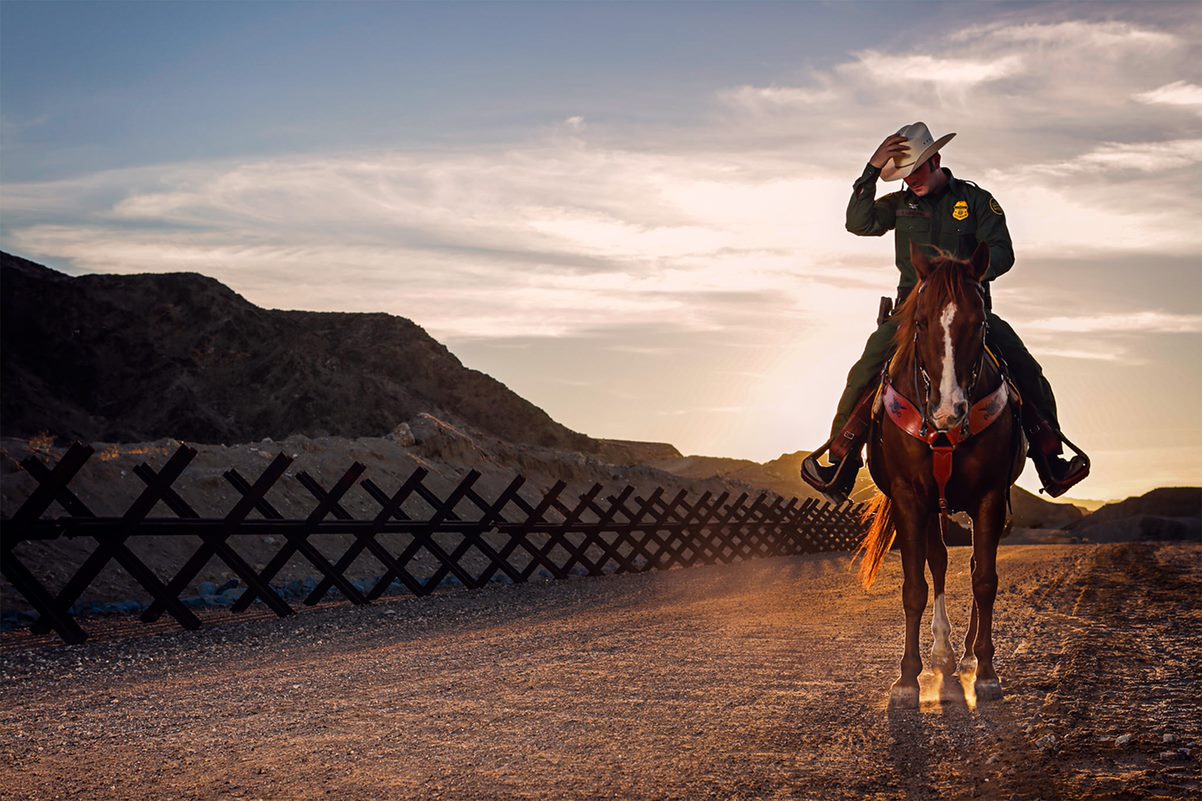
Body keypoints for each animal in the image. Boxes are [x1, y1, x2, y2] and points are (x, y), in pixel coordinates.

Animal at [855, 238, 1024, 707]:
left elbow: (984, 581)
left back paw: (964, 656)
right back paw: (943, 655)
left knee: (971, 566)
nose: (949, 411)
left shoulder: (989, 496)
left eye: (980, 323)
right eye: (921, 321)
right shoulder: (910, 497)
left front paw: (986, 672)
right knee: (941, 563)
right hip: (933, 508)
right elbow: (915, 586)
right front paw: (907, 678)